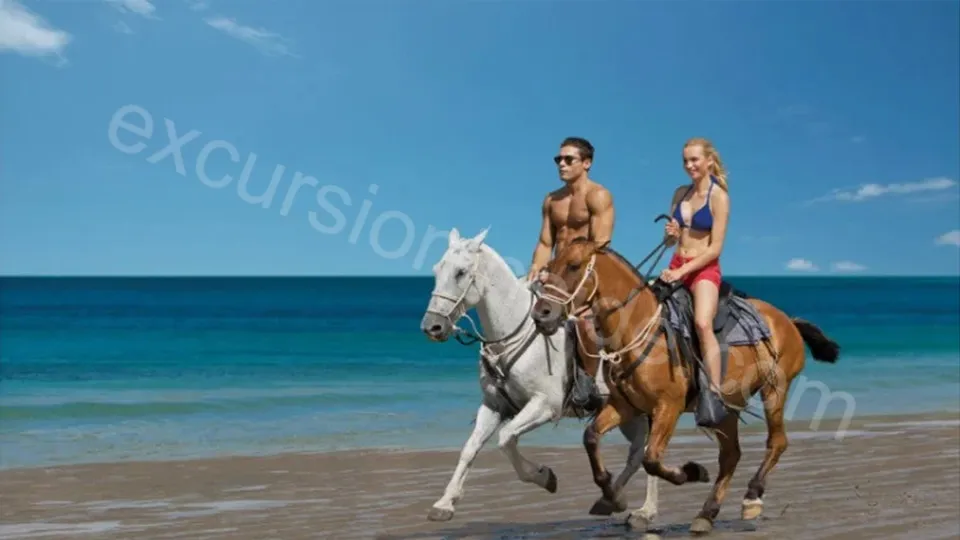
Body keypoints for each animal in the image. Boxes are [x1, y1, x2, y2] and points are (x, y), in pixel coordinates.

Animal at [418, 227, 661, 527]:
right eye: (437, 269)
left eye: (461, 272)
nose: (432, 326)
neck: (511, 334)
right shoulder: (493, 406)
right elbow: (470, 448)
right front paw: (444, 503)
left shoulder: (544, 406)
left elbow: (506, 438)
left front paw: (544, 477)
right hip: (628, 413)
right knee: (637, 452)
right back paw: (613, 499)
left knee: (648, 450)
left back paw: (645, 510)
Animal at [529, 234, 840, 535]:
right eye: (550, 267)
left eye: (574, 266)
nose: (541, 313)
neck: (638, 329)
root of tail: (787, 320)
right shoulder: (624, 405)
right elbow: (591, 437)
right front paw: (613, 497)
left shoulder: (669, 406)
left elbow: (651, 458)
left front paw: (691, 472)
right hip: (725, 408)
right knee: (731, 455)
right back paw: (707, 513)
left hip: (774, 390)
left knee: (776, 442)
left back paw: (752, 497)